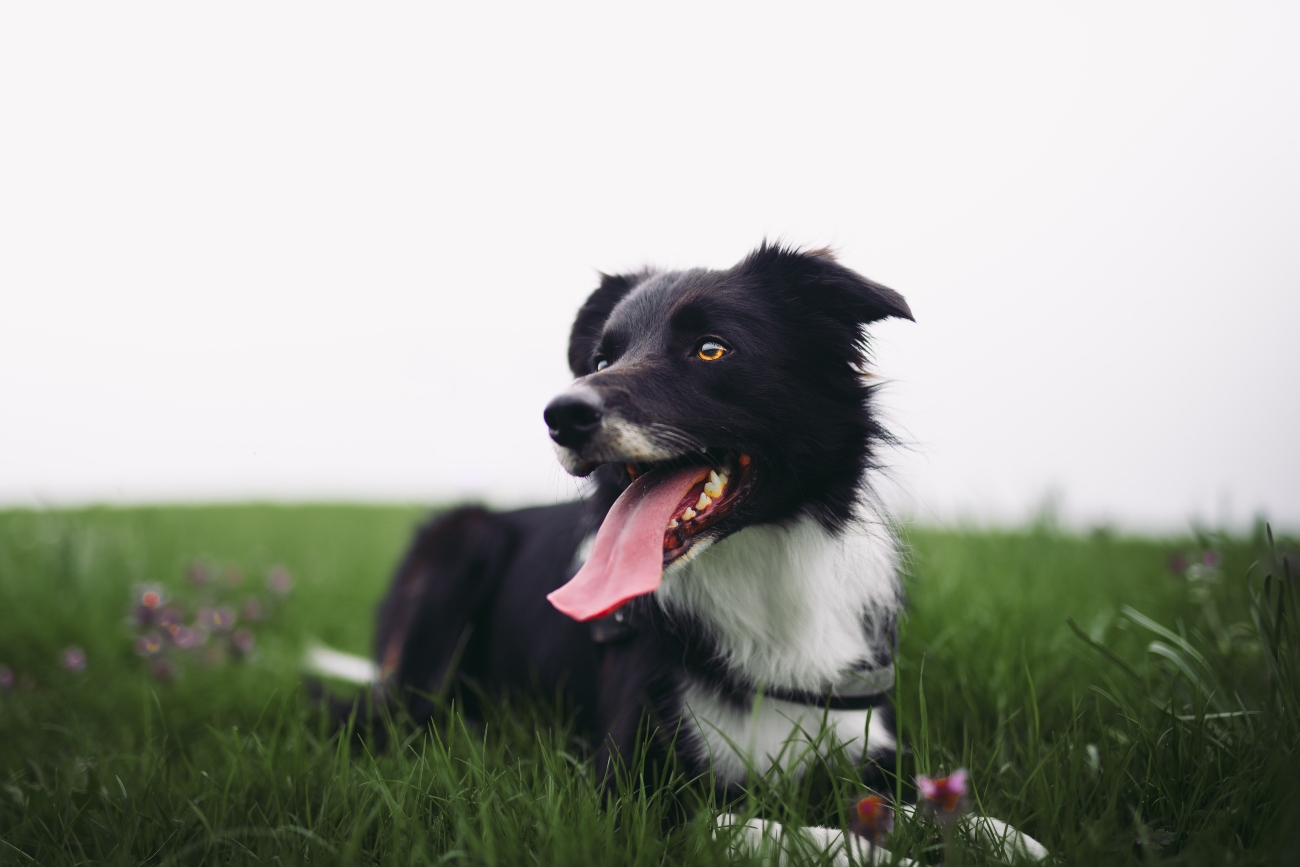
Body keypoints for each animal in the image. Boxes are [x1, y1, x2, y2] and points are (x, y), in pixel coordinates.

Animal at [356, 243, 1045, 863]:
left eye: (712, 348)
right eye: (601, 357)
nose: (561, 414)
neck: (758, 576)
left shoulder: (867, 741)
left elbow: (937, 802)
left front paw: (1005, 838)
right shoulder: (630, 796)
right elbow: (790, 832)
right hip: (462, 541)